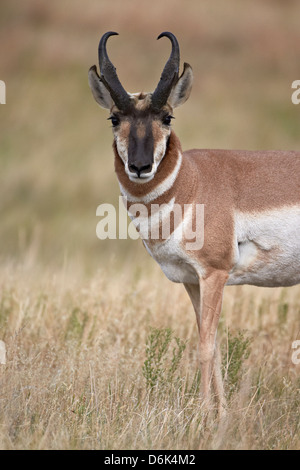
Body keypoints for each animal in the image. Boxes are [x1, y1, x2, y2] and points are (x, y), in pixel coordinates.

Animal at [88, 32, 300, 414]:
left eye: (167, 117)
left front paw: (202, 414)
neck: (192, 181)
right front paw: (221, 414)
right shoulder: (191, 280)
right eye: (114, 118)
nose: (139, 166)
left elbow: (205, 348)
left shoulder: (214, 274)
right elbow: (211, 345)